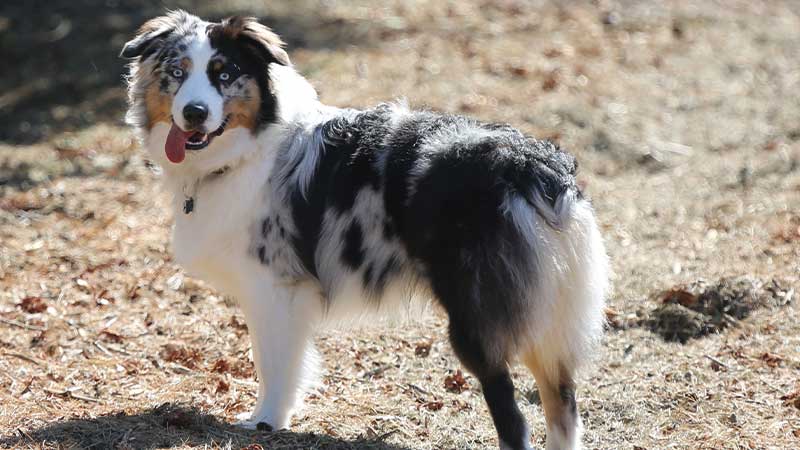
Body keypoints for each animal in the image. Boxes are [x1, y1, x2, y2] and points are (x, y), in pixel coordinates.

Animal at [120, 11, 608, 450]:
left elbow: (274, 364)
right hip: (545, 316)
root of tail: (534, 167)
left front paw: (265, 421)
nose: (194, 113)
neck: (249, 148)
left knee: (514, 418)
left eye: (224, 74)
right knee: (563, 405)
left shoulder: (275, 287)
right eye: (177, 73)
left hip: (478, 320)